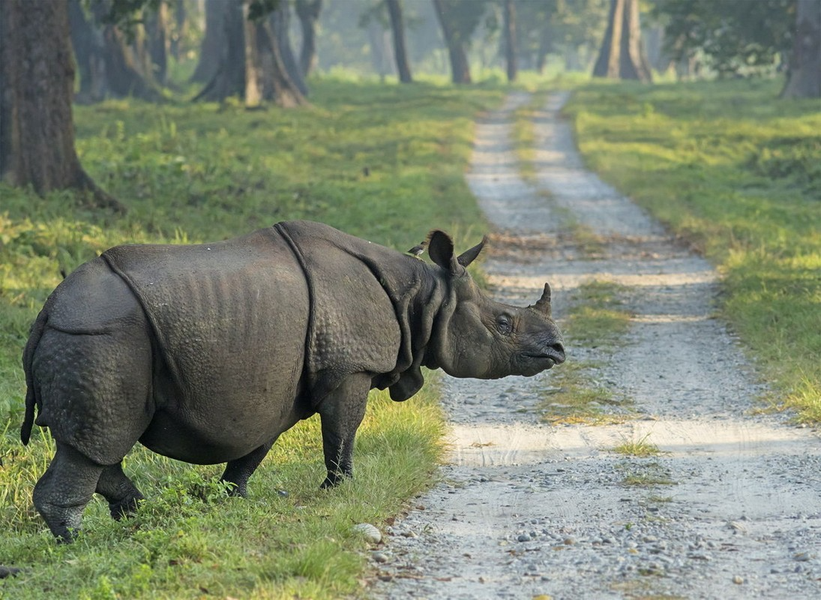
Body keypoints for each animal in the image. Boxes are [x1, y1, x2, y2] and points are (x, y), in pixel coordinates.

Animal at [21, 220, 565, 541]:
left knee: (100, 444)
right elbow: (343, 430)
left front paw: (233, 499)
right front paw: (339, 491)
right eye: (503, 324)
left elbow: (255, 446)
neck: (424, 296)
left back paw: (136, 516)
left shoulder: (278, 385)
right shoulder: (350, 367)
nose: (559, 350)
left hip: (97, 339)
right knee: (97, 441)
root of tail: (46, 312)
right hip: (102, 338)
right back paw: (78, 546)